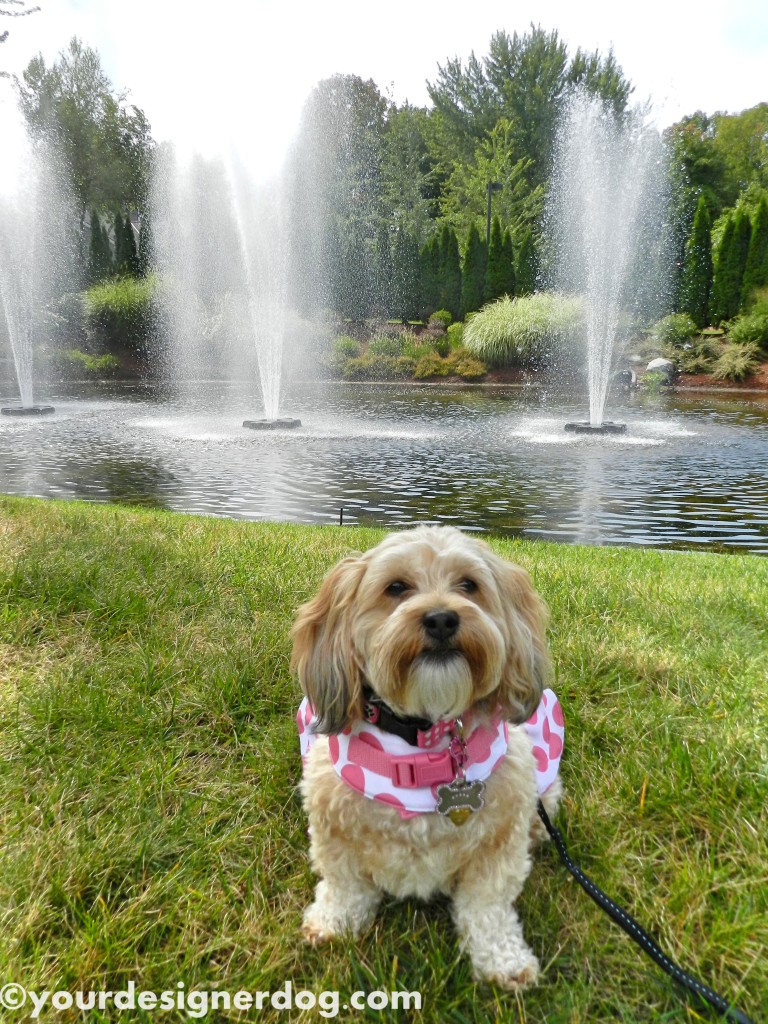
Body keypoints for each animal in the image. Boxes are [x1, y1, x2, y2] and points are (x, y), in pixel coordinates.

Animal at [290, 524, 561, 987]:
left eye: (468, 585)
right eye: (396, 588)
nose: (441, 618)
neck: (424, 736)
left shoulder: (499, 837)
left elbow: (488, 905)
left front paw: (503, 959)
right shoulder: (333, 822)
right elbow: (345, 884)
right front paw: (334, 922)